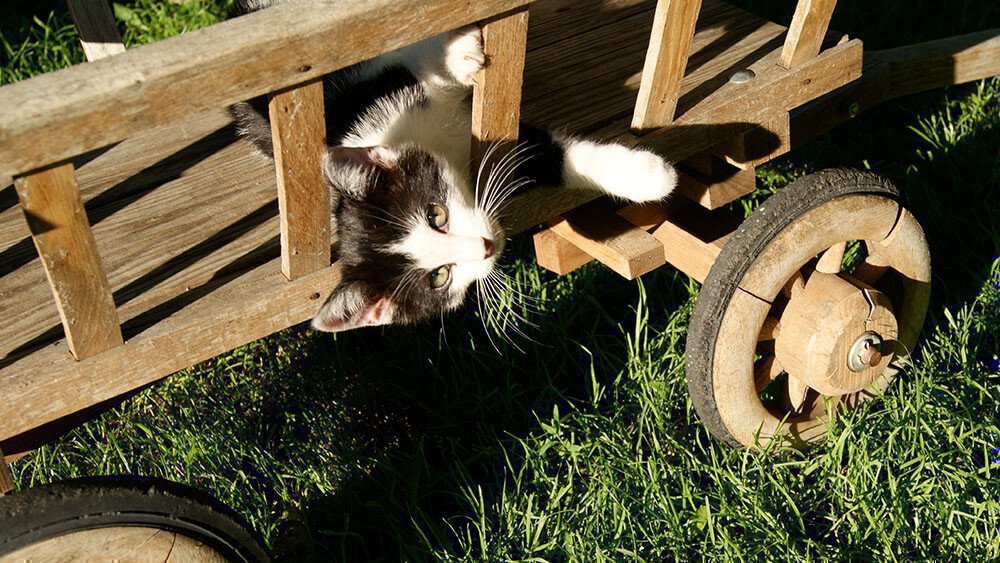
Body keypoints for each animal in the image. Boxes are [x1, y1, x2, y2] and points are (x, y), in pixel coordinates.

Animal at [230, 0, 676, 332]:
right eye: (439, 277)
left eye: (435, 214)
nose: (486, 247)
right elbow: (536, 158)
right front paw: (650, 176)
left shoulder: (375, 82)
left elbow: (412, 47)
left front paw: (461, 52)